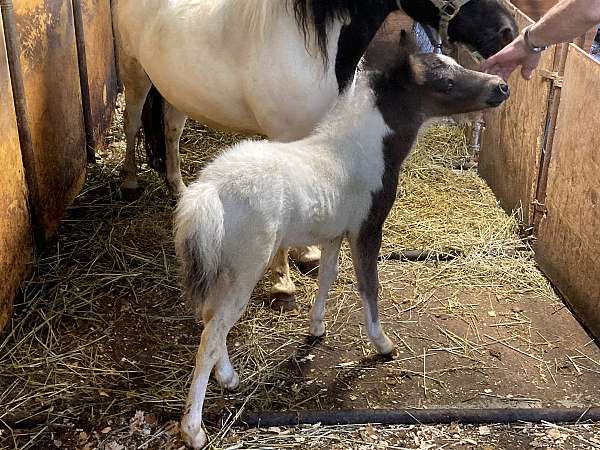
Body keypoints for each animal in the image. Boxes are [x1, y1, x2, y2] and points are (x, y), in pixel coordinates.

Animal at [111, 0, 516, 304]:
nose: (508, 30)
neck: (312, 51)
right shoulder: (282, 136)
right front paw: (282, 281)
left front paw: (307, 254)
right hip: (134, 71)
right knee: (131, 122)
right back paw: (129, 182)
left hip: (177, 91)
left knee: (170, 130)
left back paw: (179, 190)